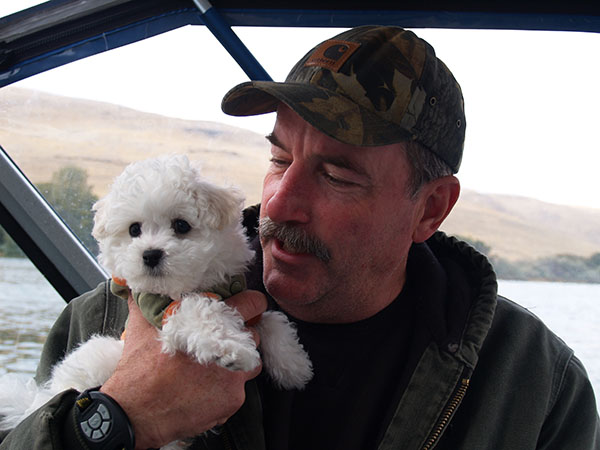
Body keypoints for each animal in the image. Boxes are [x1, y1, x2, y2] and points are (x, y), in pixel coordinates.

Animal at [0, 155, 314, 442]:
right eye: (134, 229)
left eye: (181, 225)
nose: (150, 254)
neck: (188, 283)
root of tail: (40, 398)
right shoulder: (163, 310)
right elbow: (200, 309)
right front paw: (231, 348)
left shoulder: (243, 297)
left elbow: (271, 319)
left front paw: (294, 364)